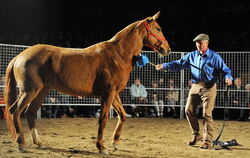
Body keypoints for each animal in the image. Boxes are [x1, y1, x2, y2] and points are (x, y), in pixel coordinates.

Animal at [3, 11, 171, 154]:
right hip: (29, 91)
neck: (118, 55)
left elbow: (122, 115)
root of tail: (19, 56)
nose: (167, 49)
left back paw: (39, 143)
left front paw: (115, 142)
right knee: (14, 112)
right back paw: (21, 144)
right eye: (158, 28)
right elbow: (103, 118)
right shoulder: (107, 94)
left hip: (41, 92)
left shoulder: (114, 94)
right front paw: (101, 147)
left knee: (30, 113)